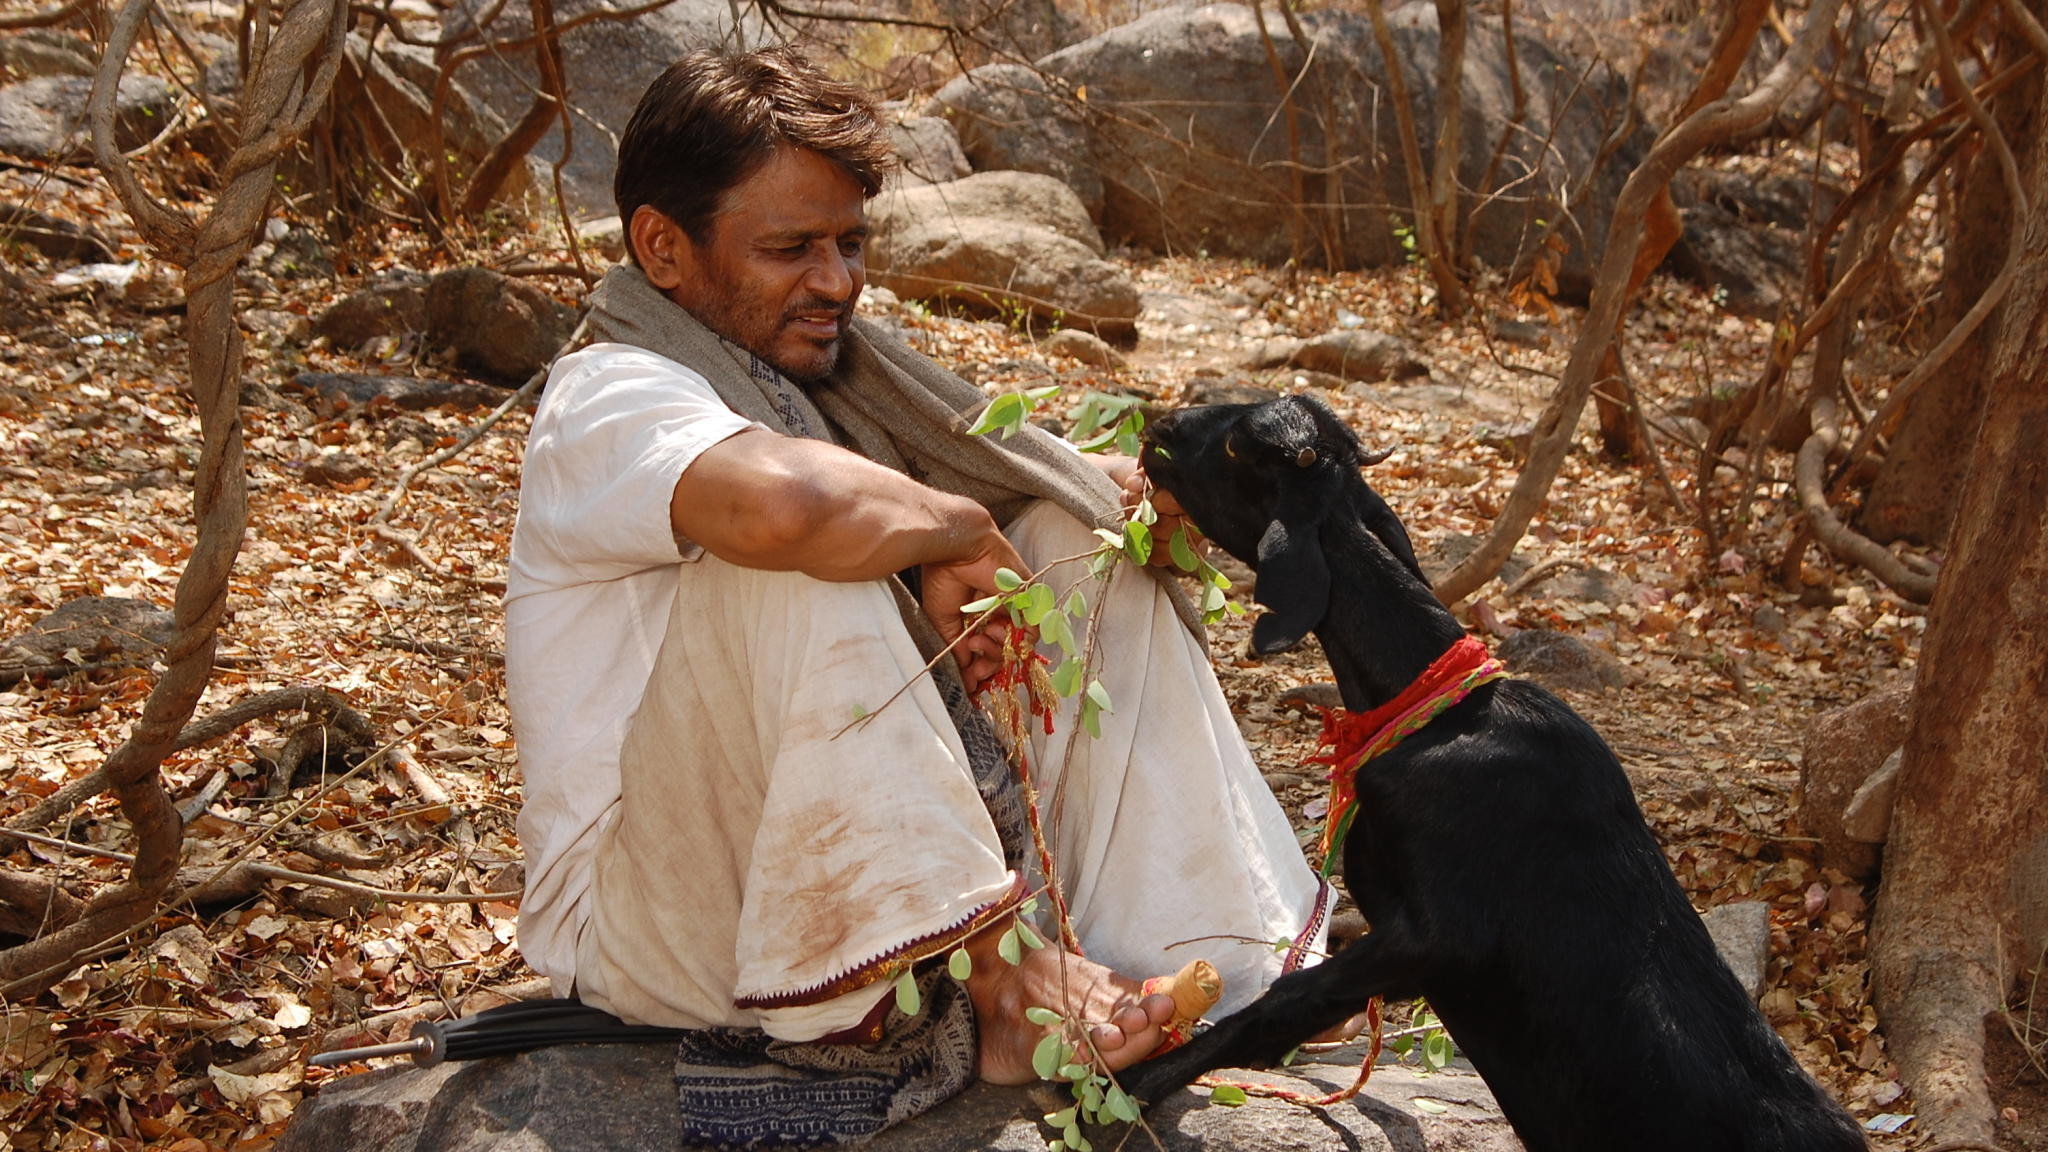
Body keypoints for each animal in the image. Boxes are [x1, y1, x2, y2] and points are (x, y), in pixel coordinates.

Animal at [1120, 394, 1867, 1152]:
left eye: (1239, 449)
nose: (1162, 427)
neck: (1440, 712)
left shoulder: (1438, 936)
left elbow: (1289, 1000)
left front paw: (1135, 1076)